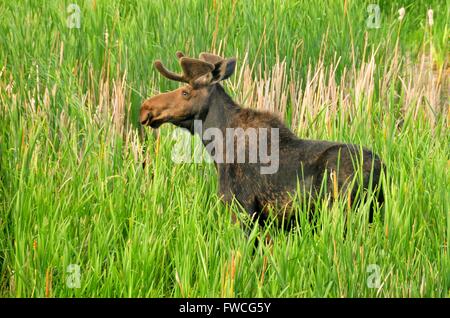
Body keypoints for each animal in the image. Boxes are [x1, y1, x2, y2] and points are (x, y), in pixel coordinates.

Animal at [141, 52, 384, 234]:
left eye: (185, 92)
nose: (146, 108)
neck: (217, 148)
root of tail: (380, 168)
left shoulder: (243, 209)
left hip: (343, 212)